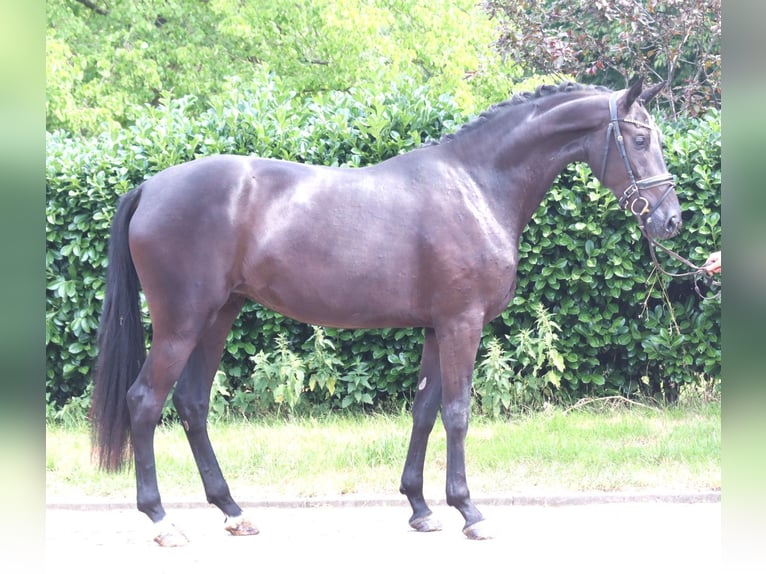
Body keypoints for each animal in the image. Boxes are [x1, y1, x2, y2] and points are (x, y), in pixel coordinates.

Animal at [90, 78, 681, 546]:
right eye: (640, 138)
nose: (671, 220)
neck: (476, 185)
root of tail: (150, 187)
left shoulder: (436, 329)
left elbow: (423, 411)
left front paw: (420, 508)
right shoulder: (462, 324)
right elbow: (457, 413)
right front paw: (470, 512)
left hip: (219, 316)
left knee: (192, 403)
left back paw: (234, 512)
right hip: (182, 322)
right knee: (146, 402)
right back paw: (162, 520)